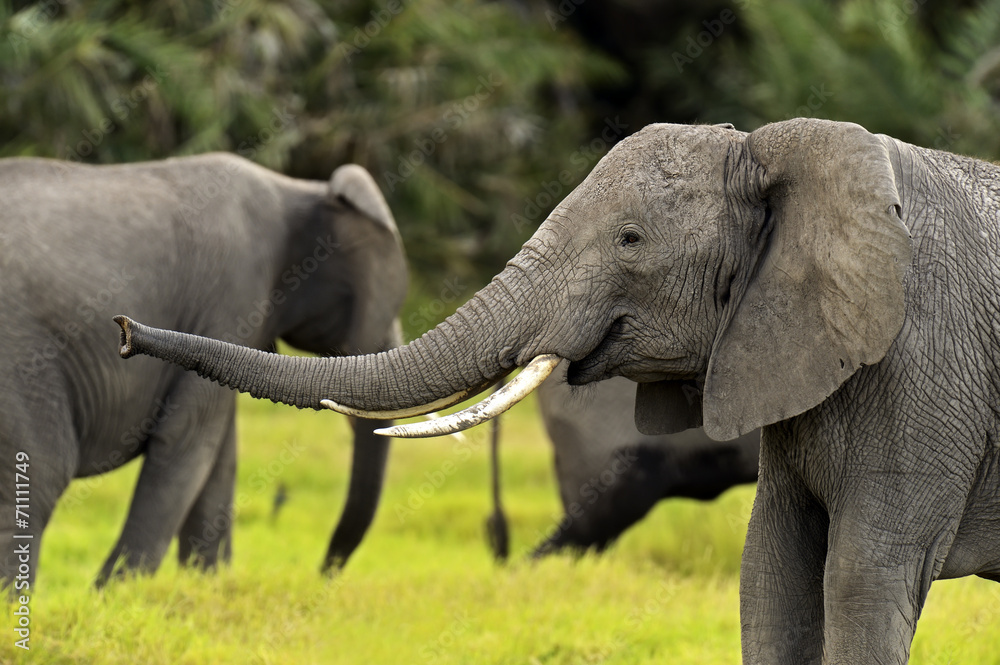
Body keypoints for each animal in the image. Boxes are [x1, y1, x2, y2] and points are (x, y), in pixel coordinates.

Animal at [0, 153, 407, 588]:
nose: (323, 575)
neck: (300, 189)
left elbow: (220, 457)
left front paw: (205, 587)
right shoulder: (235, 294)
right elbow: (190, 438)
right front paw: (116, 595)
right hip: (21, 357)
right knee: (40, 475)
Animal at [116, 118, 1000, 664]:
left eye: (631, 239)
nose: (122, 329)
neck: (779, 151)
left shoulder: (921, 364)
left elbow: (861, 573)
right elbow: (773, 569)